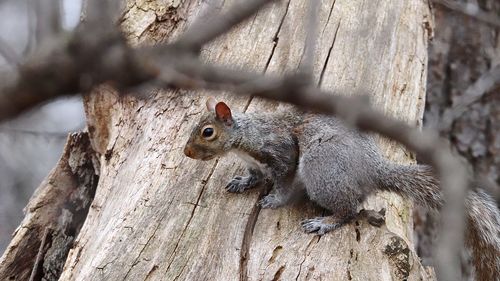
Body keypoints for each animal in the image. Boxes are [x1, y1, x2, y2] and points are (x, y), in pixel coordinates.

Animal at [184, 97, 500, 278]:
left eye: (208, 132)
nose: (186, 153)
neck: (244, 139)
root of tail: (373, 171)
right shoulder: (254, 163)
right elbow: (254, 175)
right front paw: (241, 182)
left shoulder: (281, 152)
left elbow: (283, 180)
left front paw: (273, 200)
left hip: (320, 170)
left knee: (349, 211)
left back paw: (324, 222)